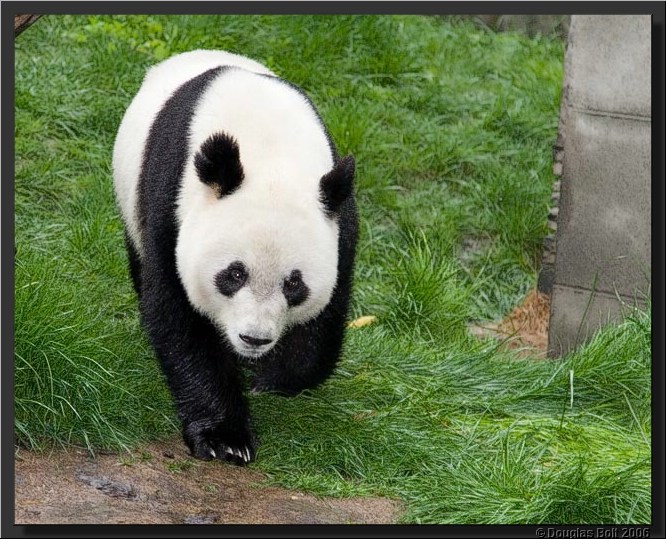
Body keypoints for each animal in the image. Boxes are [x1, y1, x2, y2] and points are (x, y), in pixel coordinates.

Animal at [112, 50, 358, 466]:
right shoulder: (171, 204)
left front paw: (274, 379)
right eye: (234, 274)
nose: (253, 338)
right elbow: (177, 312)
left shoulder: (338, 217)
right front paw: (224, 437)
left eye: (294, 284)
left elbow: (327, 314)